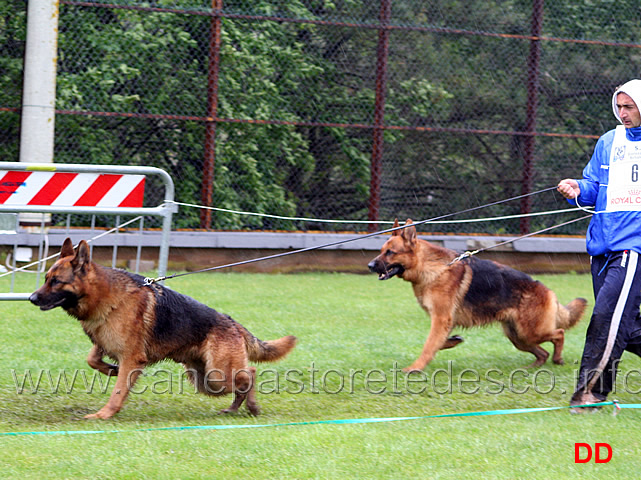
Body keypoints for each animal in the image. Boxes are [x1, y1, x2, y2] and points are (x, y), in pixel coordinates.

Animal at [30, 238, 298, 418]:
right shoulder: (104, 343)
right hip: (204, 379)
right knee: (244, 379)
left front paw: (104, 414)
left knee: (249, 373)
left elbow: (117, 392)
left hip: (217, 375)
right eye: (45, 279)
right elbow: (93, 359)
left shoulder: (132, 358)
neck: (108, 297)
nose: (31, 298)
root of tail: (230, 321)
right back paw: (235, 409)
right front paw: (111, 370)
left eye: (56, 282)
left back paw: (251, 407)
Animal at [368, 219, 588, 374]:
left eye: (390, 252)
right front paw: (453, 341)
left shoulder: (441, 318)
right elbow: (438, 341)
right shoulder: (444, 321)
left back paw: (557, 359)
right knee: (543, 351)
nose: (370, 265)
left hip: (530, 332)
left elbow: (429, 345)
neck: (431, 267)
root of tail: (547, 290)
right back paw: (533, 367)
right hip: (518, 336)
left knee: (559, 333)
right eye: (381, 251)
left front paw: (415, 367)